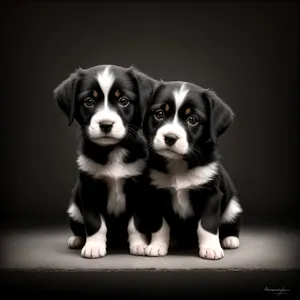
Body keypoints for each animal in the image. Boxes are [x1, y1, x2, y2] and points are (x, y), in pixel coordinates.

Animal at [53, 65, 158, 258]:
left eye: (123, 101)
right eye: (89, 101)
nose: (106, 124)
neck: (113, 150)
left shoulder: (139, 190)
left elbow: (135, 223)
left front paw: (139, 245)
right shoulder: (89, 190)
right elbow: (95, 223)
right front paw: (93, 246)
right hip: (74, 210)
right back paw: (77, 240)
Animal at [142, 81, 243, 258]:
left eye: (193, 119)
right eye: (159, 114)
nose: (170, 138)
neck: (179, 163)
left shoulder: (211, 194)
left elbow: (207, 224)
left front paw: (210, 248)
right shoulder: (156, 193)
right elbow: (160, 224)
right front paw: (157, 246)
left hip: (233, 207)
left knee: (230, 222)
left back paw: (230, 239)